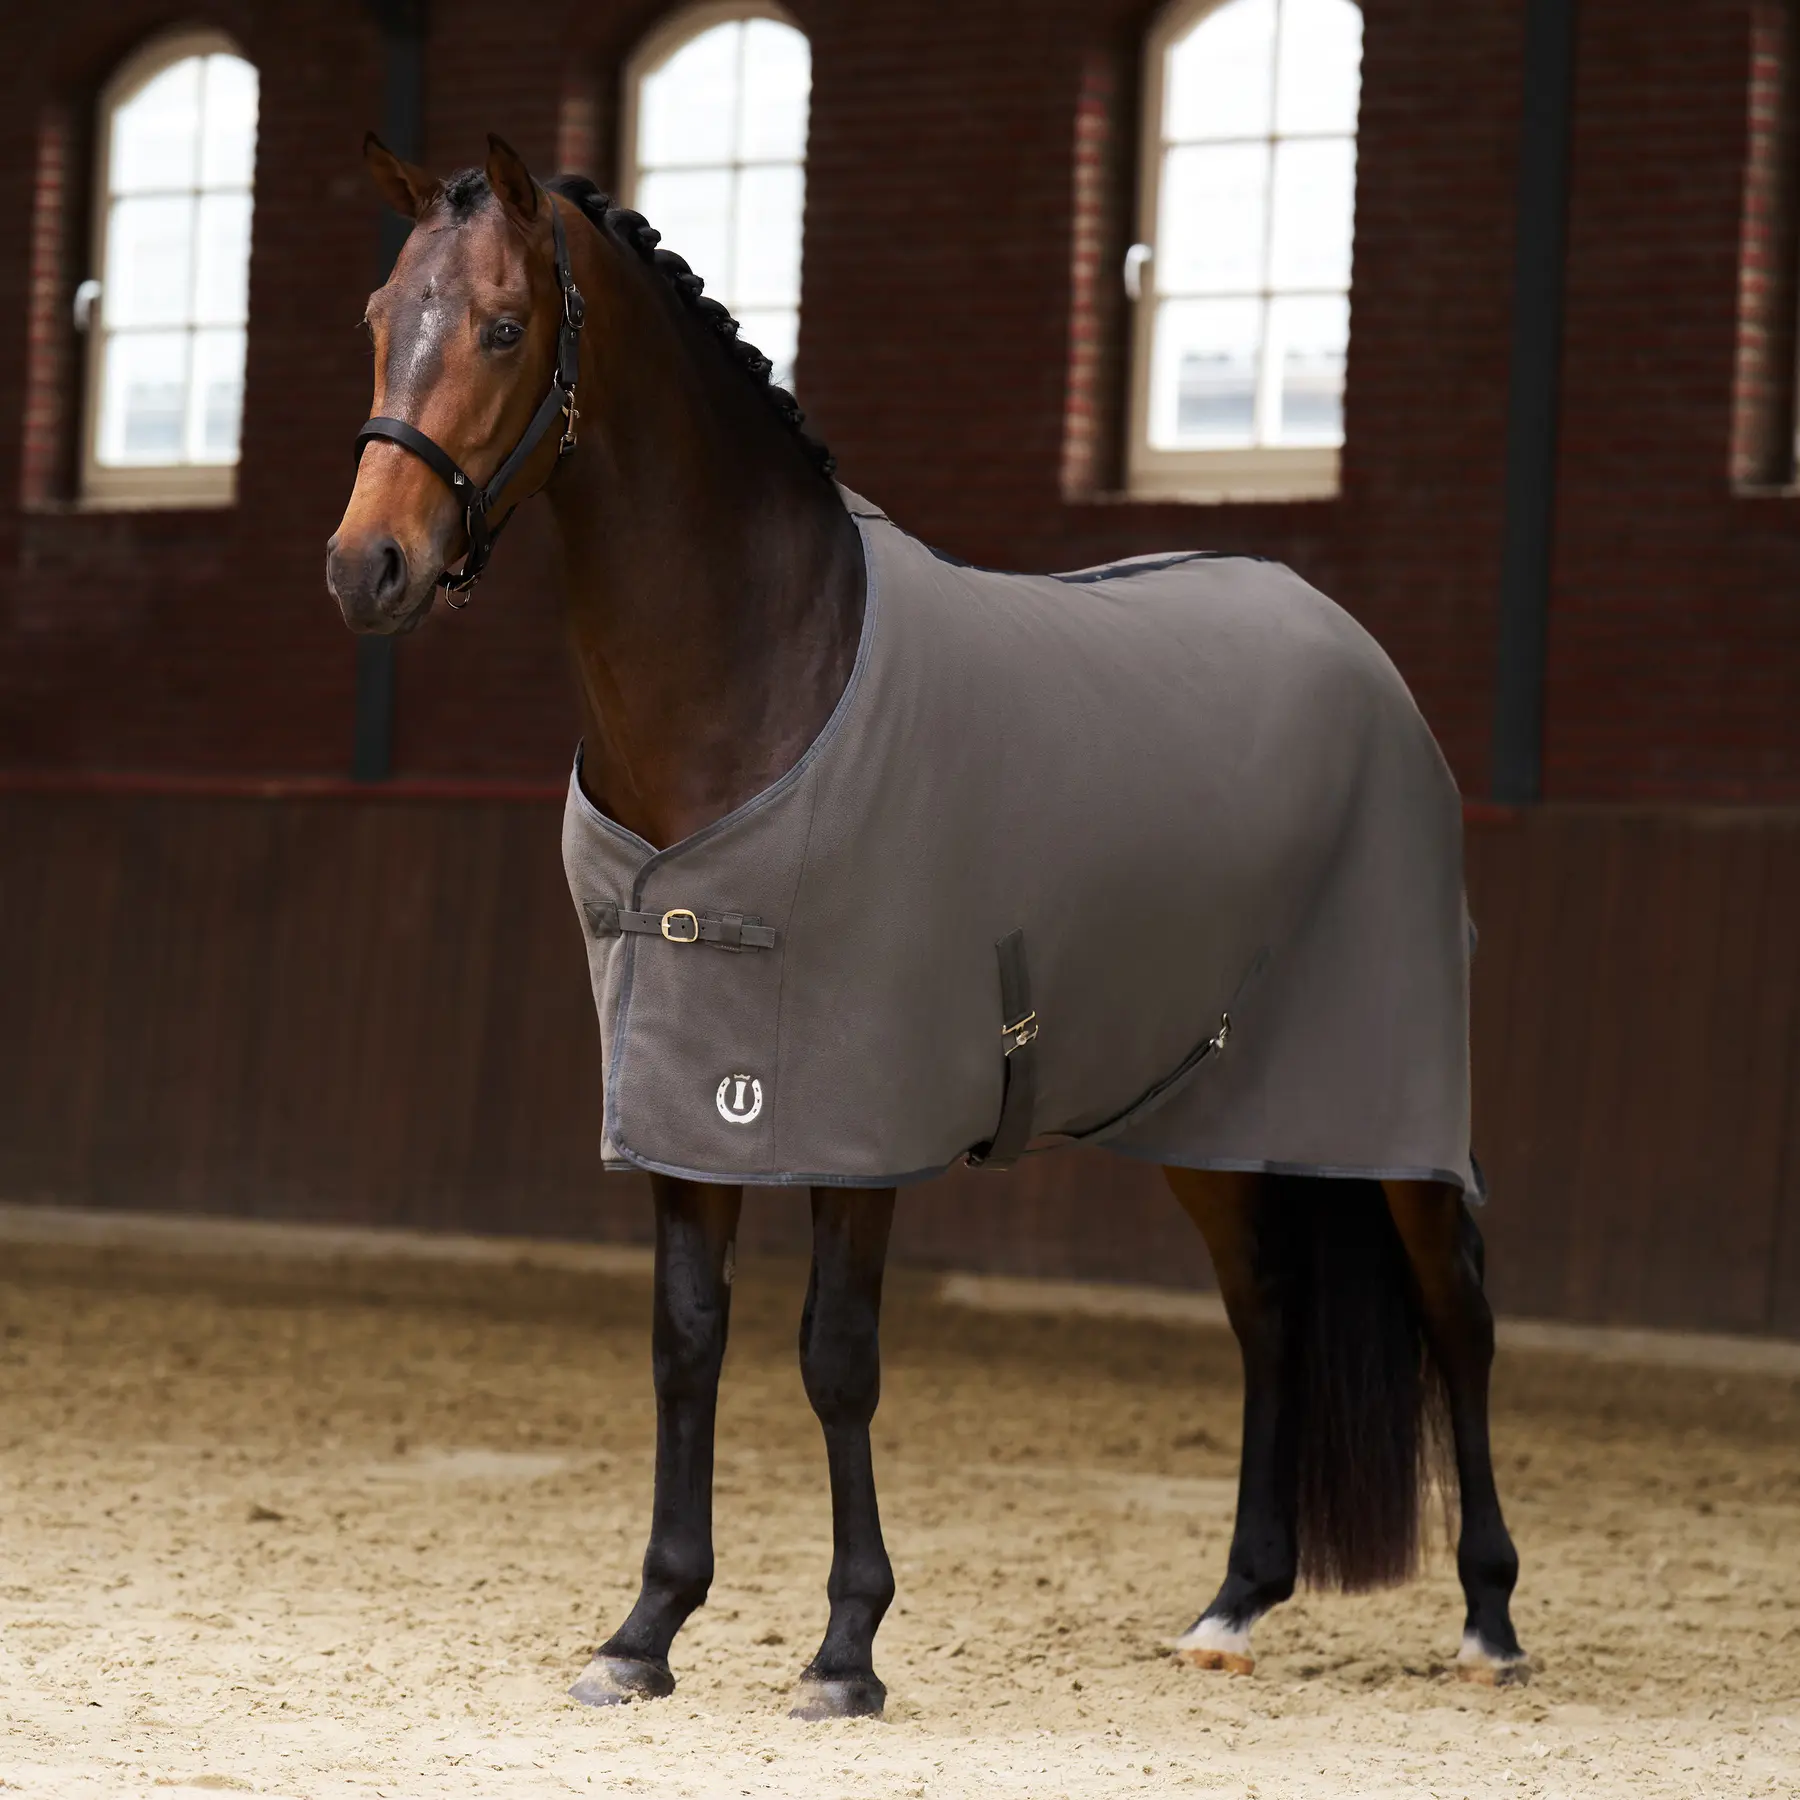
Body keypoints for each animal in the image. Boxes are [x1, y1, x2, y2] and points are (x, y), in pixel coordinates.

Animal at [326, 132, 1526, 1719]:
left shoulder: (859, 1120)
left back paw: (1491, 1623)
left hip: (1389, 1107)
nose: (367, 569)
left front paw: (846, 1650)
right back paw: (1233, 1606)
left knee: (1458, 1312)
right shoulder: (684, 1102)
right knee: (1269, 1310)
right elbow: (685, 1344)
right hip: (1209, 1106)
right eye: (376, 317)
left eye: (507, 327)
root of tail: (1361, 657)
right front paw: (645, 1632)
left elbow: (836, 1357)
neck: (768, 673)